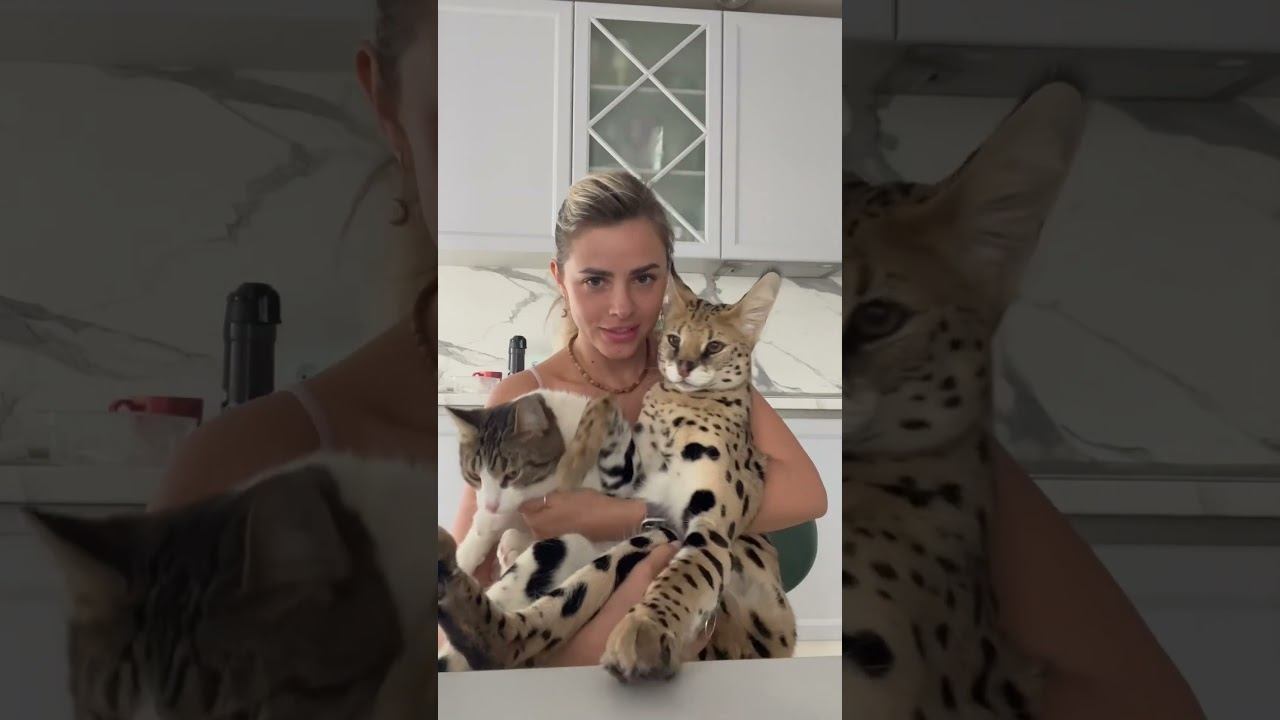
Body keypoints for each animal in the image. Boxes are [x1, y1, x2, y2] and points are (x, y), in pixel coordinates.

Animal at [435, 270, 797, 680]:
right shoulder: (630, 476)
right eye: (674, 339)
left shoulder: (710, 522)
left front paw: (647, 628)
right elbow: (606, 416)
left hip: (657, 538)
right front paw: (582, 440)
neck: (681, 403)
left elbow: (684, 578)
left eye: (714, 346)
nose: (683, 367)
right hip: (569, 547)